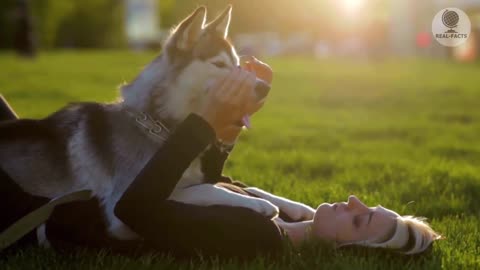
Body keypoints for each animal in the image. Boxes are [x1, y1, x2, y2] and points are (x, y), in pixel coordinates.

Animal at [0, 5, 316, 239]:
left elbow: (238, 184)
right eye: (218, 65)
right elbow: (205, 189)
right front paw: (258, 205)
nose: (265, 88)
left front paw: (296, 206)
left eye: (239, 65)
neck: (160, 128)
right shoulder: (120, 208)